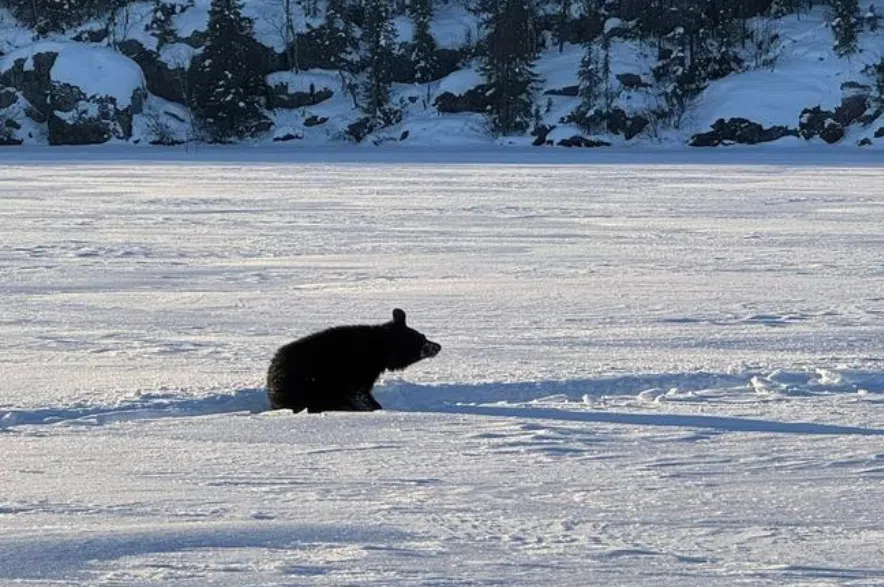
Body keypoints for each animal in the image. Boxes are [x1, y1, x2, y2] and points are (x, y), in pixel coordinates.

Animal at [266, 308, 441, 413]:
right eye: (420, 339)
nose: (437, 346)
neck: (380, 351)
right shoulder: (355, 371)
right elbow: (359, 393)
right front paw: (375, 407)